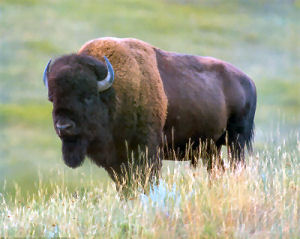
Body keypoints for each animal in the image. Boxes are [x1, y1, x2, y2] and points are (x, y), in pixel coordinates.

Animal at [43, 37, 256, 183]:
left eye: (87, 97)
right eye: (52, 98)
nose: (64, 127)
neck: (114, 92)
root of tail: (248, 81)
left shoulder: (147, 151)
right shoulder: (116, 161)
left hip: (236, 142)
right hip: (211, 148)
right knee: (218, 170)